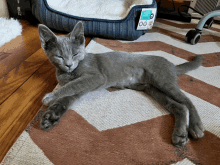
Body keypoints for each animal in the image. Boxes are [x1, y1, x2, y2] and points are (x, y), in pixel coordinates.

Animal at [37, 21, 205, 148]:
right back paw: (180, 135)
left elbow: (71, 86)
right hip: (153, 89)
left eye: (75, 54)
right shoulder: (86, 86)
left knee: (187, 101)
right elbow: (69, 96)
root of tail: (171, 65)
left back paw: (196, 127)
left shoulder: (95, 77)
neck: (68, 73)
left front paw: (51, 97)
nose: (69, 64)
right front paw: (52, 115)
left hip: (163, 80)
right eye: (59, 56)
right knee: (180, 106)